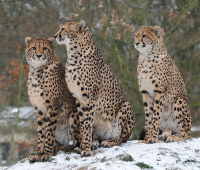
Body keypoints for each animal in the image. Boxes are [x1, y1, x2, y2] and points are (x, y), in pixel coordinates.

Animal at [54, 20, 134, 157]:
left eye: (63, 28)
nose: (55, 35)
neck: (74, 53)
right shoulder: (79, 99)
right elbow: (83, 124)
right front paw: (84, 145)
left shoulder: (90, 99)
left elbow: (86, 124)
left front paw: (85, 149)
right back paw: (95, 141)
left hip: (125, 106)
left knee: (122, 138)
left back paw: (110, 142)